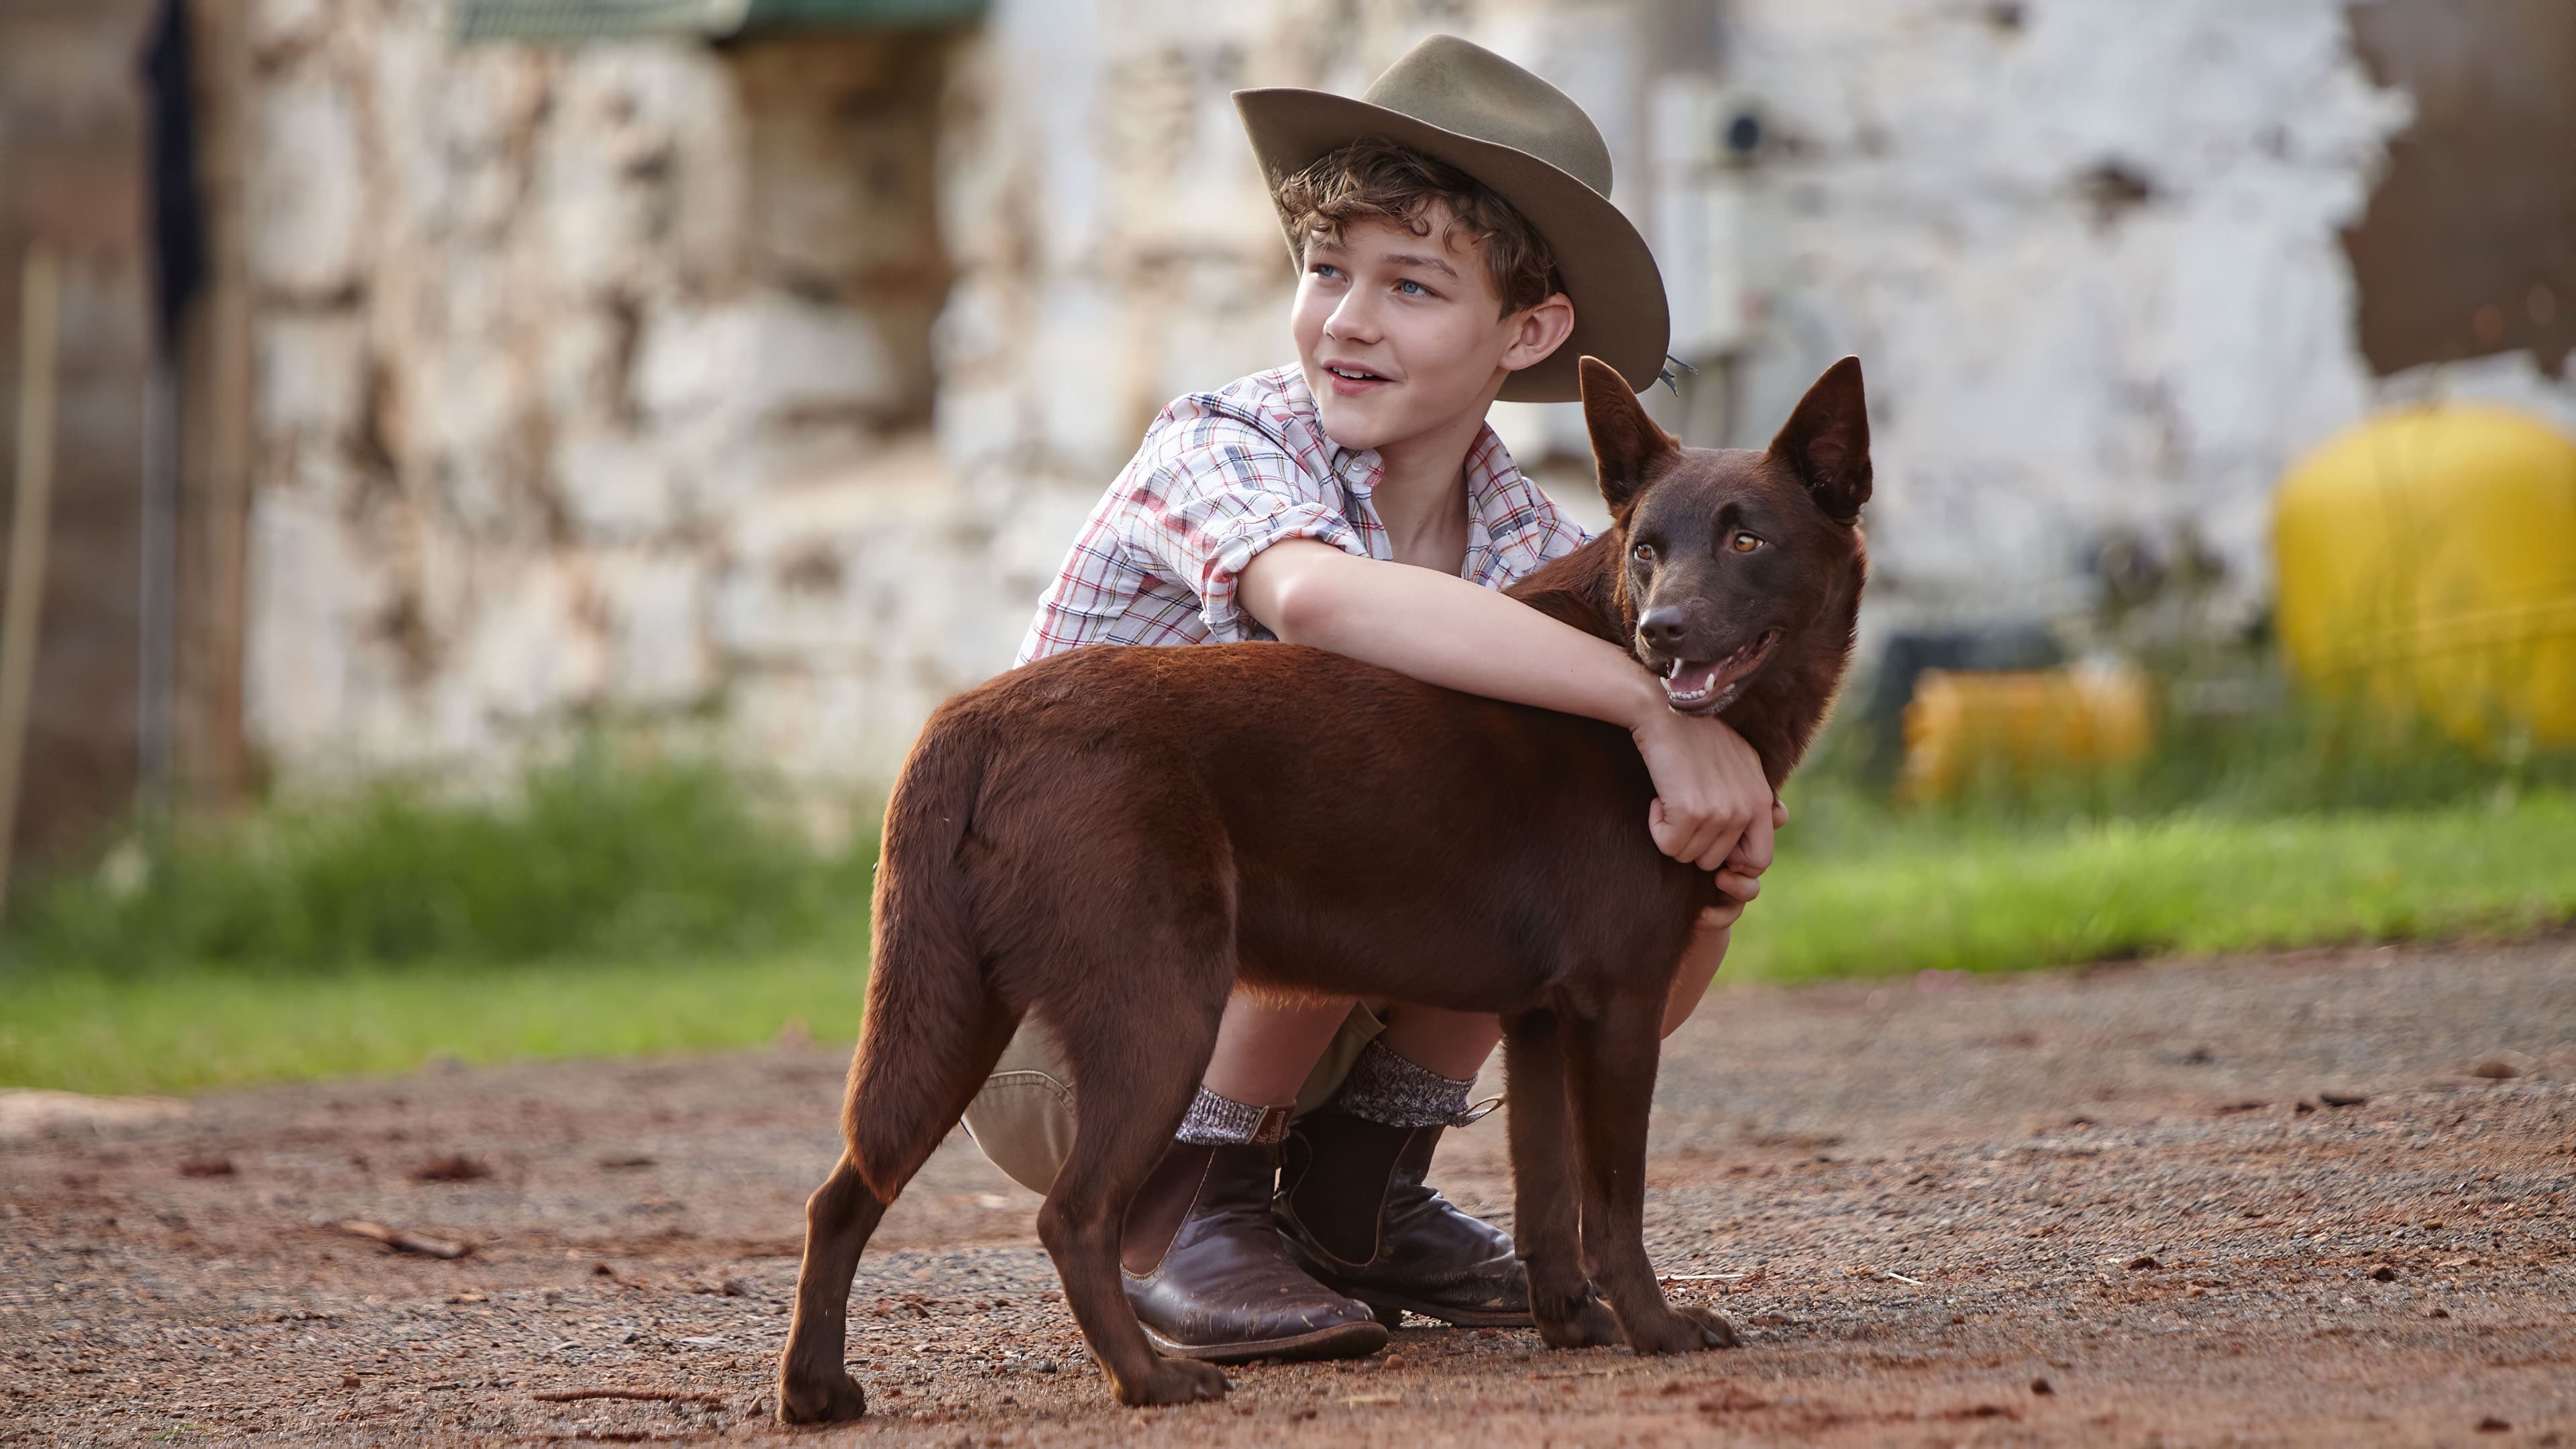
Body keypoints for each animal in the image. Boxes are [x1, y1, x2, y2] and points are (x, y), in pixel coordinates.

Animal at [773, 350, 1865, 1413]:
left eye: (1748, 541)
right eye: (1646, 550)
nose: (1663, 633)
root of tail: (974, 719)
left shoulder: (1542, 1022)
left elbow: (1550, 1197)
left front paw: (1573, 1326)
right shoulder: (1618, 1005)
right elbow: (1615, 1200)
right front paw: (1656, 1330)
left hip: (950, 1011)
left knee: (842, 1195)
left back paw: (819, 1389)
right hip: (1162, 1007)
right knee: (1072, 1217)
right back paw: (1154, 1380)